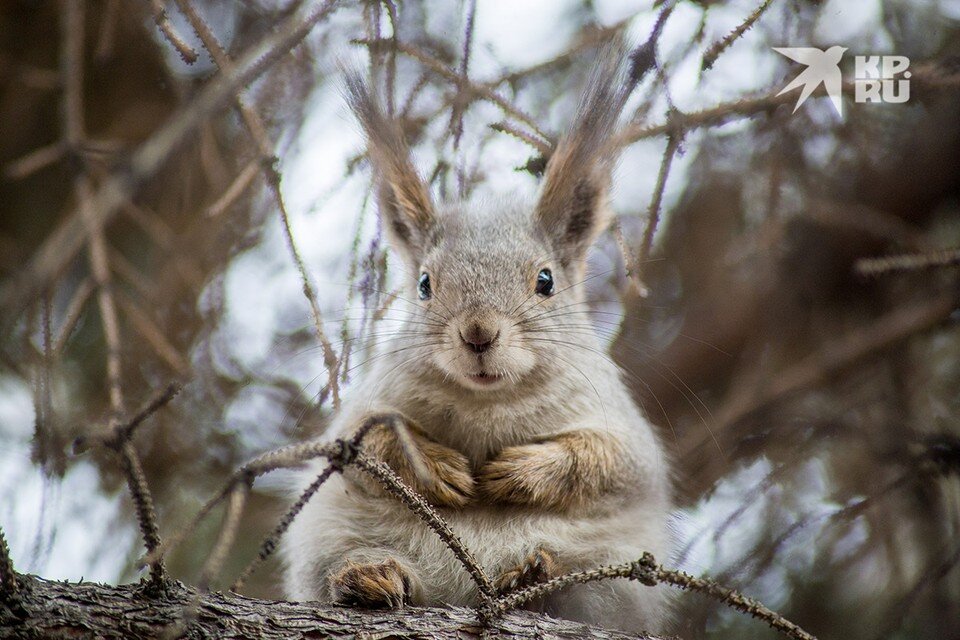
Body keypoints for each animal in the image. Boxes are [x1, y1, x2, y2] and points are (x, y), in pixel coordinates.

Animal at [284, 47, 676, 632]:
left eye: (545, 281)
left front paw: (517, 472)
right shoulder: (358, 418)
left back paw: (533, 576)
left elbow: (607, 460)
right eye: (424, 284)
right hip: (333, 535)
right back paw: (371, 578)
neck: (486, 403)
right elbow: (364, 445)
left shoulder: (626, 434)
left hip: (611, 576)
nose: (478, 333)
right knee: (356, 565)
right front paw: (437, 468)